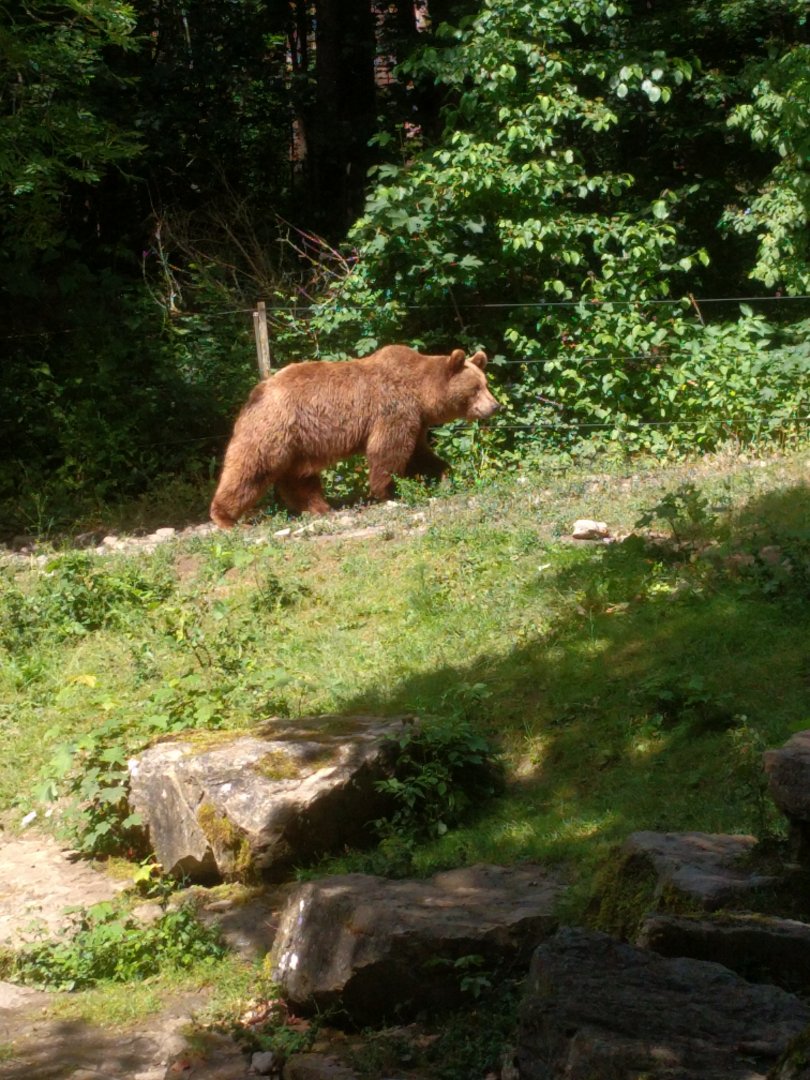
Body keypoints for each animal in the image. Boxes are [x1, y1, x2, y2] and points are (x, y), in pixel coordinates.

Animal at [209, 344, 500, 527]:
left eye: (486, 384)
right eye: (476, 388)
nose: (495, 406)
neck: (422, 395)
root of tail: (257, 391)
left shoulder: (416, 421)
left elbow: (420, 454)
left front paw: (444, 475)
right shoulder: (394, 411)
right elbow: (387, 452)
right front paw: (388, 492)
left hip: (300, 443)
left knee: (298, 476)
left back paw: (319, 508)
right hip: (275, 428)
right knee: (251, 467)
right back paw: (225, 517)